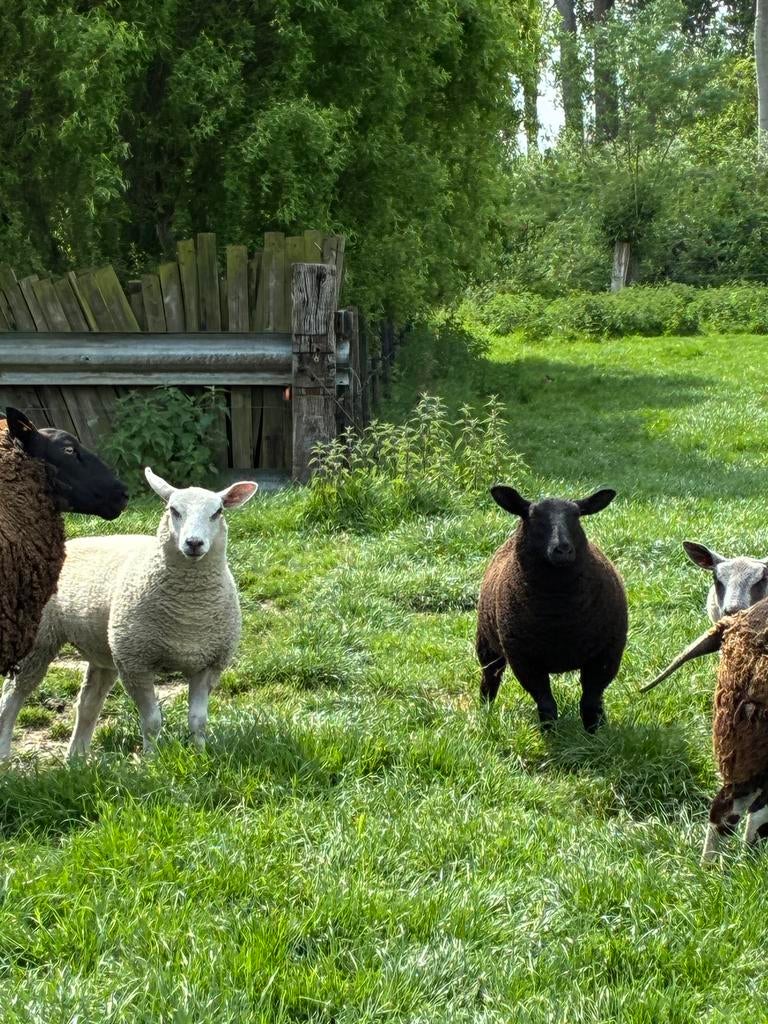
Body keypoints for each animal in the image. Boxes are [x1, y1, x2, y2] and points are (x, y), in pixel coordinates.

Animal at [0, 467, 257, 759]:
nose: (194, 543)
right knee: (12, 697)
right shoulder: (135, 664)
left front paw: (200, 755)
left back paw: (76, 759)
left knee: (88, 702)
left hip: (105, 648)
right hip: (40, 640)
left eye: (217, 512)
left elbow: (198, 720)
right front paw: (151, 760)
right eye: (173, 510)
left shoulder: (210, 664)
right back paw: (6, 756)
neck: (188, 613)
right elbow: (152, 720)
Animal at [476, 486, 628, 732]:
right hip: (486, 643)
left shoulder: (607, 654)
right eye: (533, 516)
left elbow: (591, 700)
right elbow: (546, 704)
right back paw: (484, 711)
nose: (563, 549)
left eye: (577, 516)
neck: (561, 617)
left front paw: (595, 732)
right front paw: (550, 733)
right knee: (490, 678)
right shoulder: (525, 660)